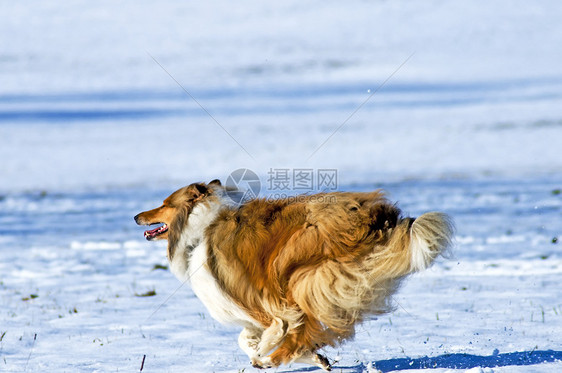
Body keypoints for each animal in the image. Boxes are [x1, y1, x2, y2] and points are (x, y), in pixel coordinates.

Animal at [133, 180, 452, 370]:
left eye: (164, 203)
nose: (136, 216)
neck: (198, 231)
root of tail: (379, 218)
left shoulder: (256, 302)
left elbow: (275, 327)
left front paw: (265, 349)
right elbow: (244, 338)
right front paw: (310, 357)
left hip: (300, 273)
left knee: (304, 324)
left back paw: (273, 358)